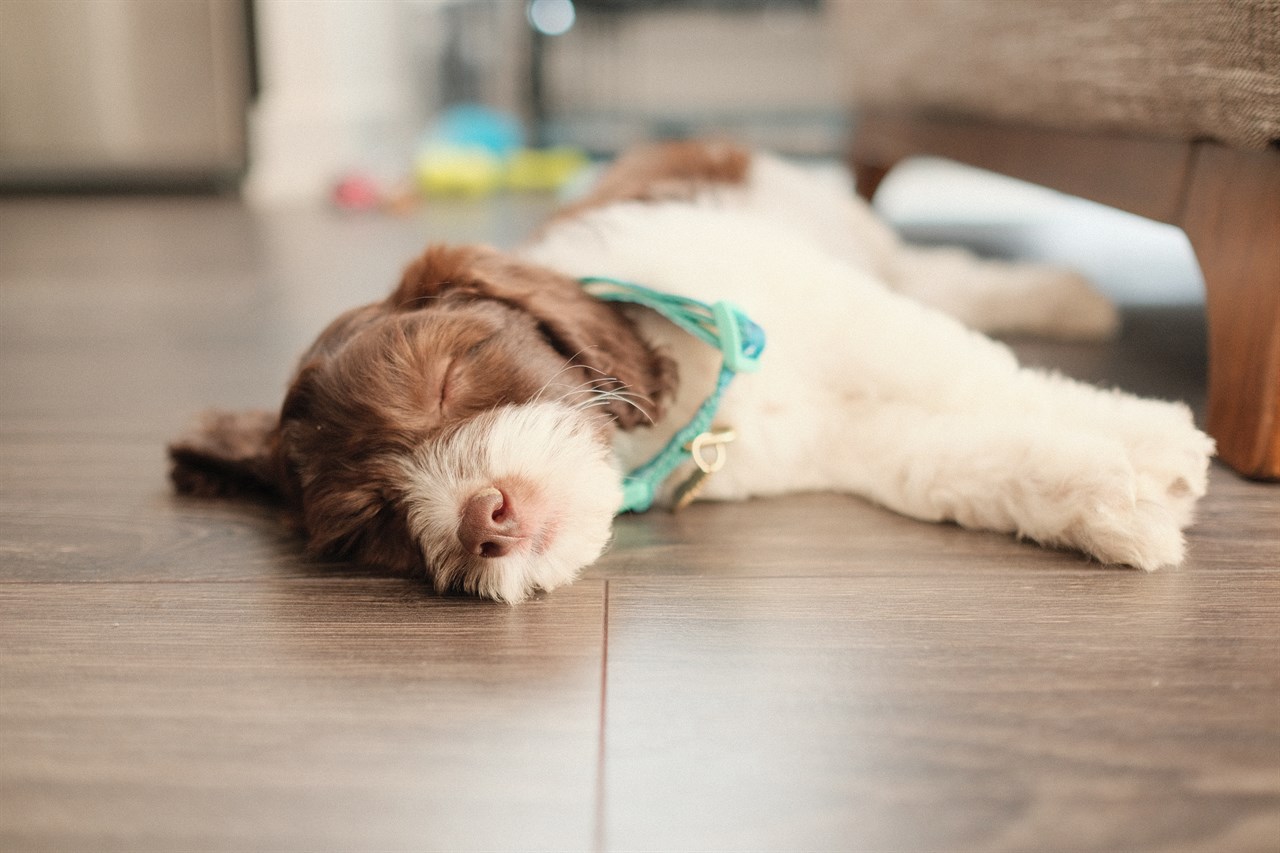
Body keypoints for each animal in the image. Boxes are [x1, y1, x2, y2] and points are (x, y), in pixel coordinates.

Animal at [175, 139, 1213, 601]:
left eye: (446, 381)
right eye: (374, 523)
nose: (481, 521)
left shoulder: (849, 317)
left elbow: (972, 374)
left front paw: (1153, 439)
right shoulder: (847, 441)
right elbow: (951, 464)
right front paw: (1111, 497)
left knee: (944, 278)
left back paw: (1065, 297)